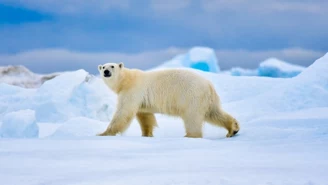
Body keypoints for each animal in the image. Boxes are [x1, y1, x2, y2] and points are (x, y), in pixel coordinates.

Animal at [96, 62, 238, 138]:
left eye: (112, 66)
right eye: (103, 67)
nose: (106, 71)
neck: (126, 80)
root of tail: (209, 85)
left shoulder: (132, 91)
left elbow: (123, 113)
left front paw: (103, 133)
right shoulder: (141, 99)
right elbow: (145, 116)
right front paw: (147, 134)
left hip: (191, 96)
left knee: (192, 118)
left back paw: (190, 135)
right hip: (207, 100)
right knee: (214, 113)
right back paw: (233, 129)